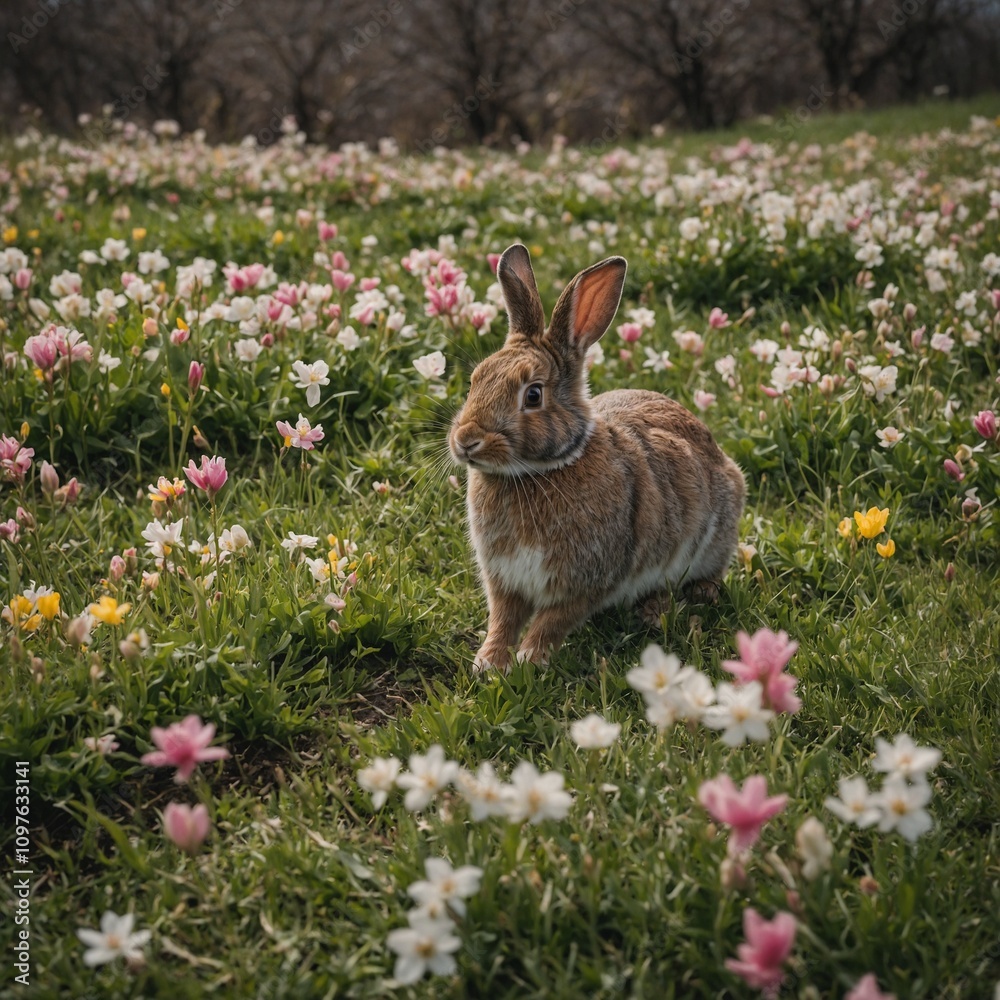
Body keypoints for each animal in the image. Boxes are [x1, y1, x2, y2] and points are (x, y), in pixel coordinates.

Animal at [448, 243, 745, 673]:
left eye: (533, 395)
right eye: (475, 380)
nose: (466, 440)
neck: (537, 471)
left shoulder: (588, 581)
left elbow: (552, 622)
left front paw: (530, 660)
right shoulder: (505, 580)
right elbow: (502, 620)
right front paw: (488, 663)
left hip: (715, 538)